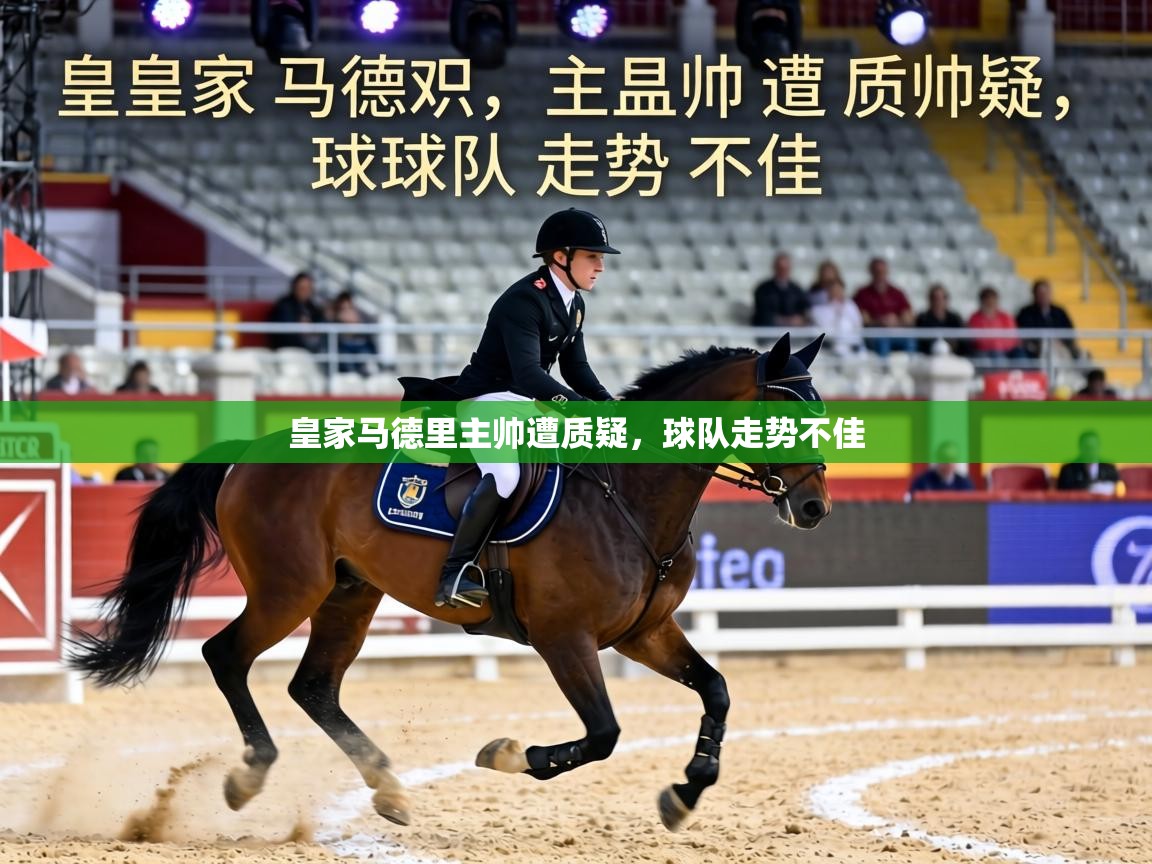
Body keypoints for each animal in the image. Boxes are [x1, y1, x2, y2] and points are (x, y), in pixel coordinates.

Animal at [68, 332, 831, 832]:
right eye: (783, 415)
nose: (815, 508)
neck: (633, 496)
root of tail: (252, 450)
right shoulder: (565, 638)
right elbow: (605, 733)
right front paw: (510, 755)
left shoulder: (644, 632)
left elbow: (717, 691)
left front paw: (686, 792)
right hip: (290, 588)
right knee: (225, 655)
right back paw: (252, 774)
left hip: (349, 593)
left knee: (313, 687)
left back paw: (390, 791)